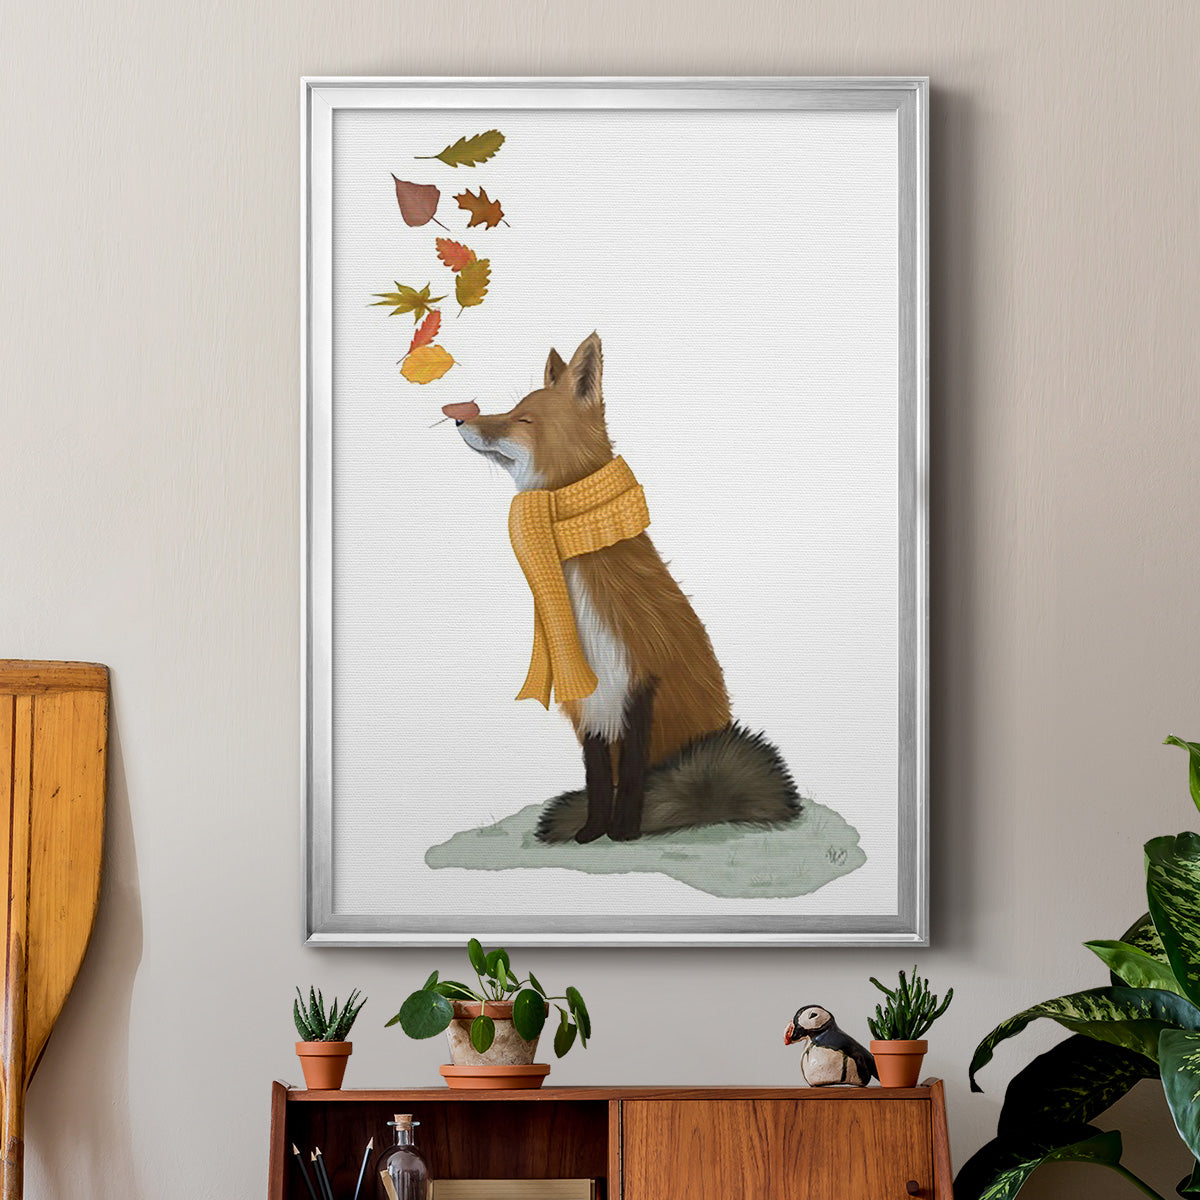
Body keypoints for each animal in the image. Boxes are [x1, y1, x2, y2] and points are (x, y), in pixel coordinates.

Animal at [442, 332, 800, 843]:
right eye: (512, 408)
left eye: (522, 418)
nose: (459, 415)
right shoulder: (590, 701)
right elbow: (597, 778)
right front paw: (592, 832)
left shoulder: (642, 684)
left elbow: (631, 774)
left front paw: (626, 830)